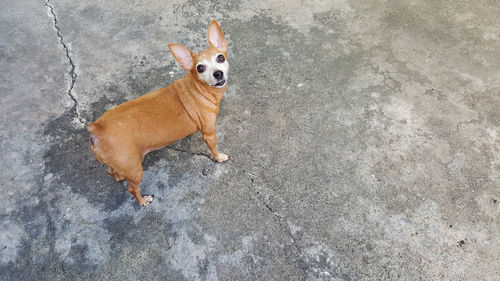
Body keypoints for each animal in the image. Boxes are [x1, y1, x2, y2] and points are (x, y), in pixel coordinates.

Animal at [88, 20, 230, 206]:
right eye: (200, 68)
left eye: (220, 58)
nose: (218, 73)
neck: (199, 89)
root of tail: (96, 128)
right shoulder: (209, 133)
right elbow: (214, 148)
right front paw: (219, 157)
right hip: (135, 169)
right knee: (133, 189)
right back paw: (143, 201)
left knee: (112, 172)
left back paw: (118, 177)